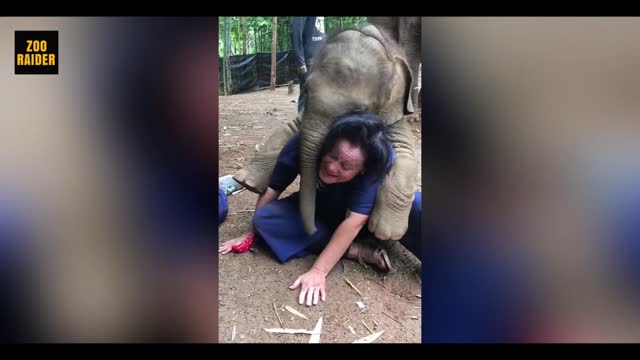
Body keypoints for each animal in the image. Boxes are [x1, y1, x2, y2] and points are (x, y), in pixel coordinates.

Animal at [232, 23, 418, 240]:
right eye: (306, 90)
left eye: (358, 110)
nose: (312, 231)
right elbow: (288, 129)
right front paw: (247, 182)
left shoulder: (393, 113)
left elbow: (405, 155)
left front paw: (386, 233)